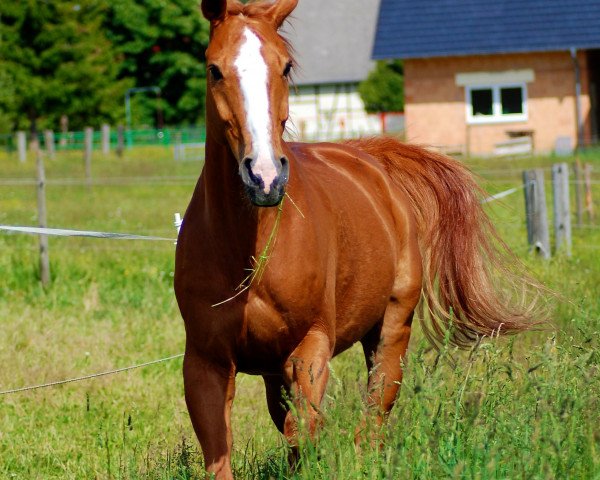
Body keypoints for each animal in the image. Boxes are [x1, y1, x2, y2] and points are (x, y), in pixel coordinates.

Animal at [173, 1, 540, 478]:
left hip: (391, 328)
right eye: (214, 69)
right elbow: (223, 450)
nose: (265, 176)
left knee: (375, 412)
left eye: (285, 66)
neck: (249, 254)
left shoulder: (310, 346)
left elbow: (302, 429)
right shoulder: (205, 363)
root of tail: (370, 158)